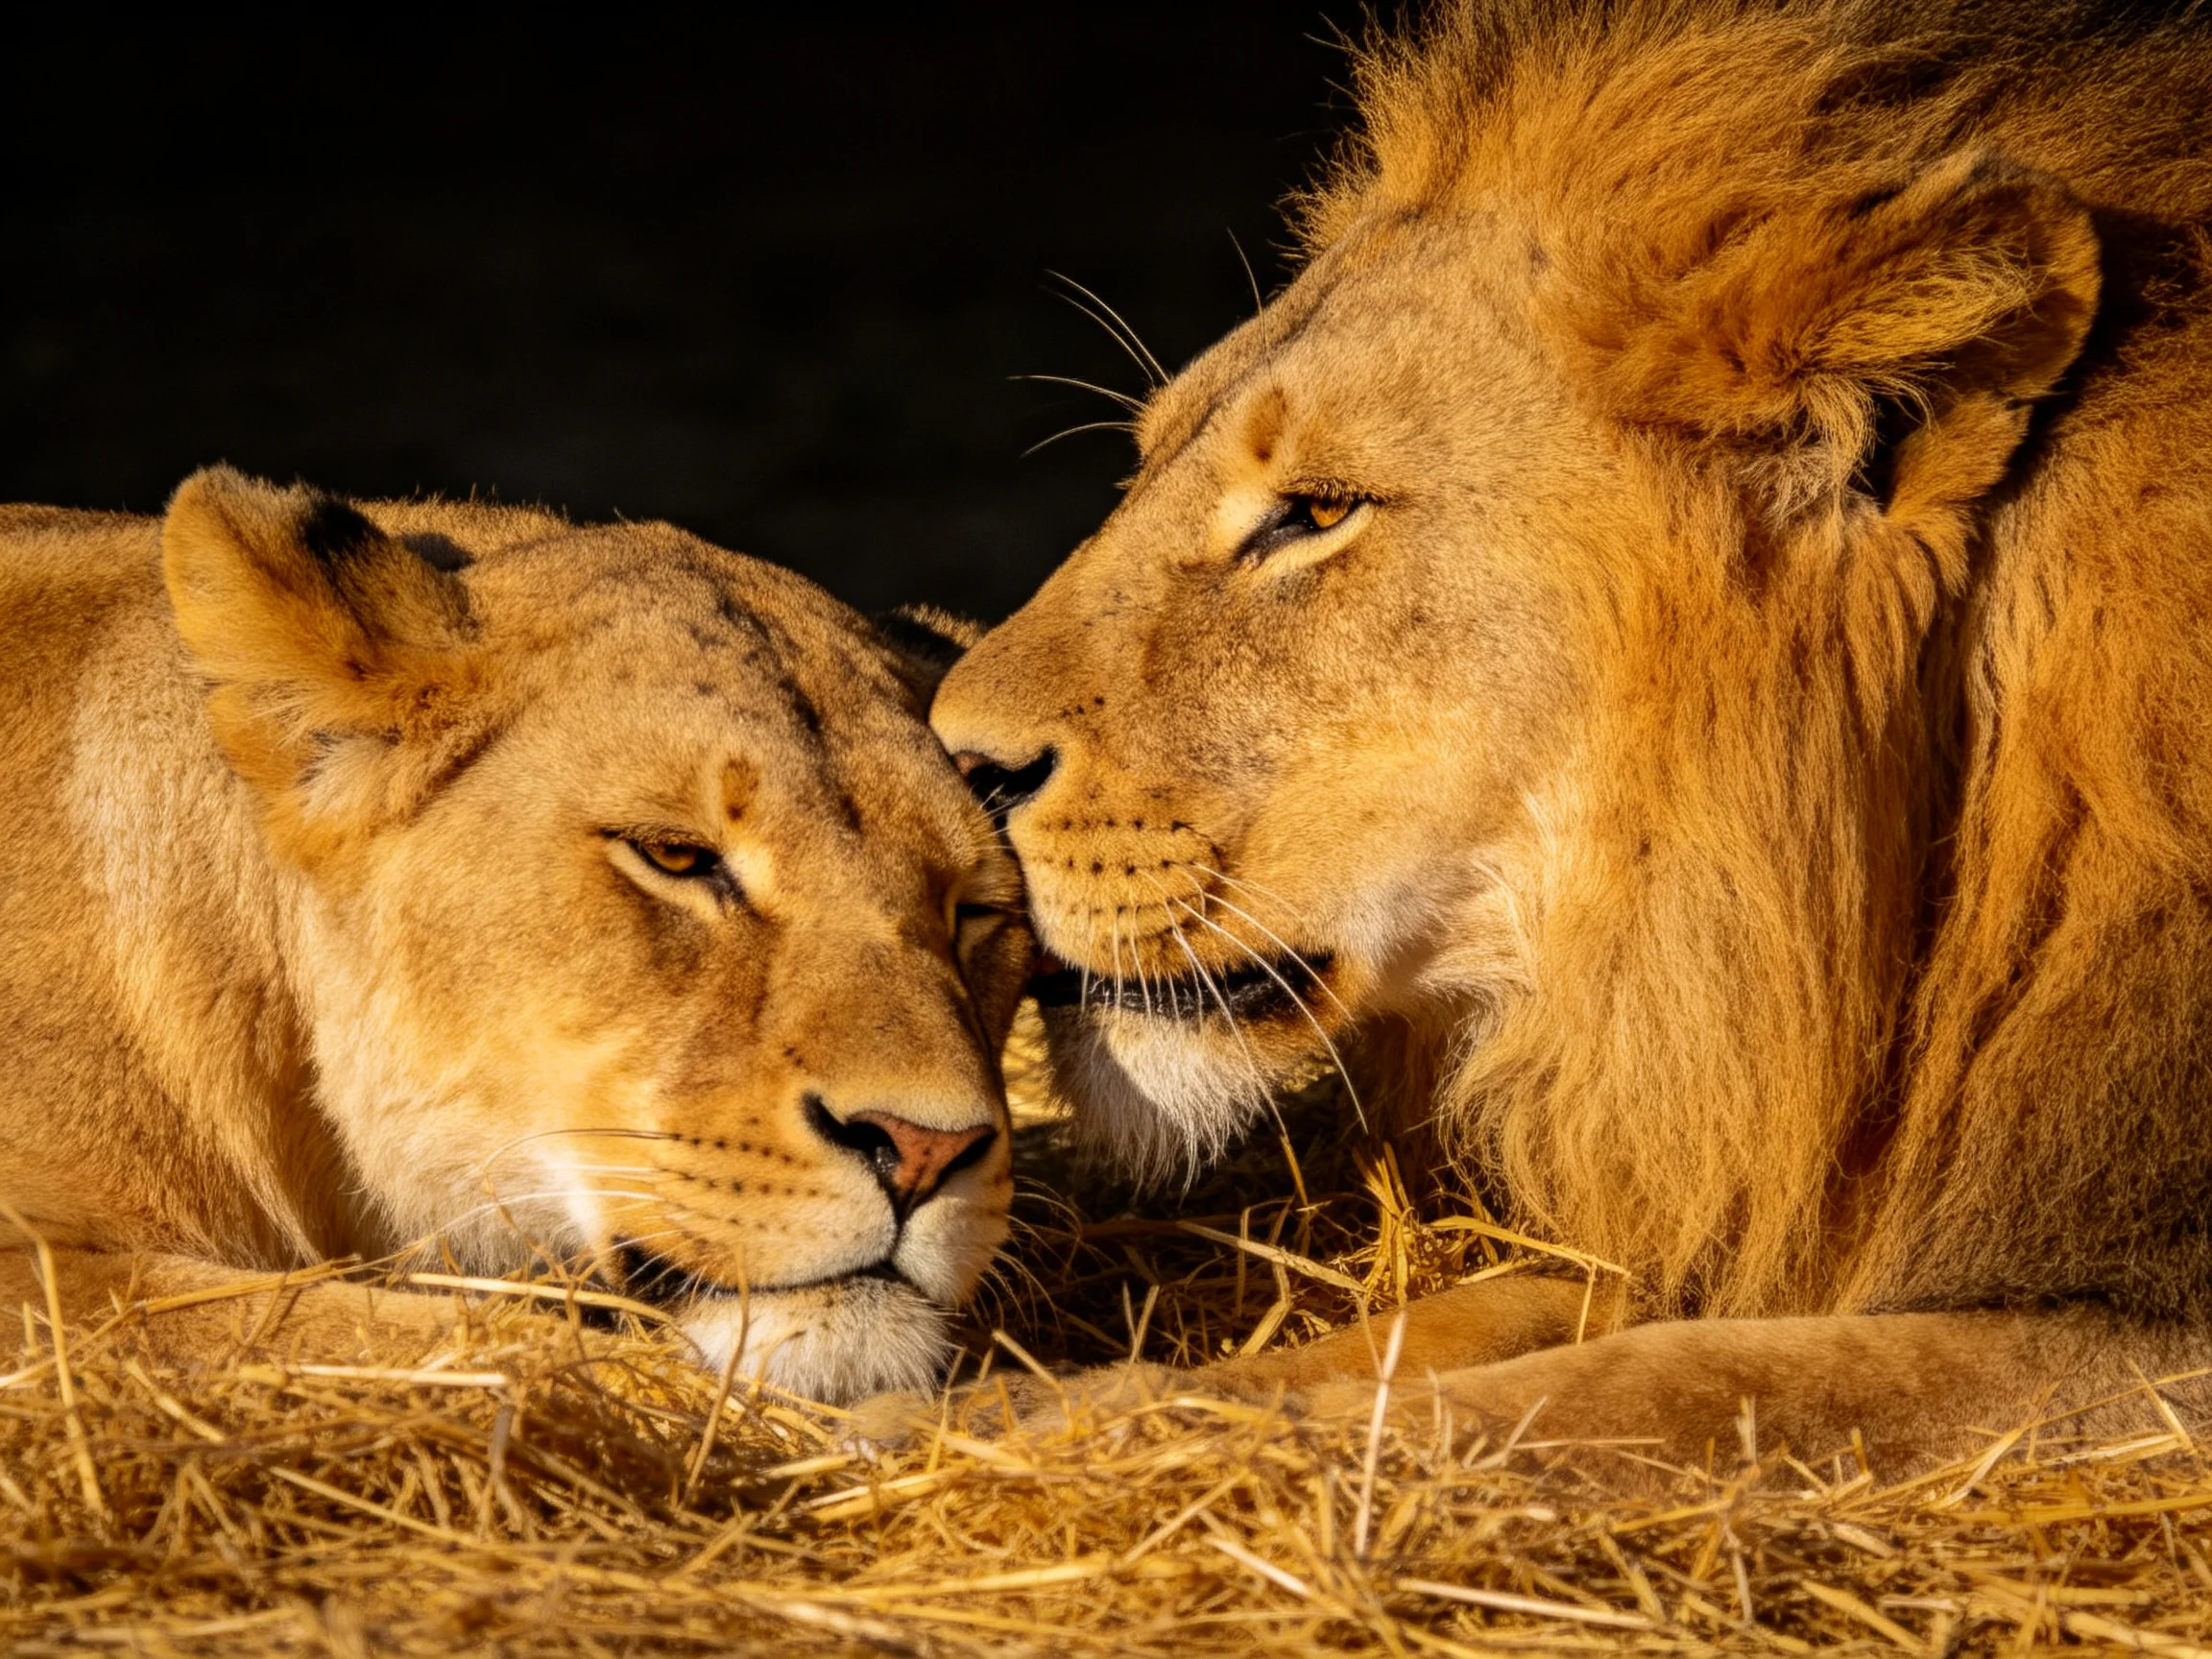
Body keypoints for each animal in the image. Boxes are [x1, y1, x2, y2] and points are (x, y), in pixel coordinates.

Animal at [930, 0, 2212, 1469]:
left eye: (1319, 511)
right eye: (1146, 463)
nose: (954, 762)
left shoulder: (2147, 1338)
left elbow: (1679, 1386)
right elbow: (1487, 1320)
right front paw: (1027, 1405)